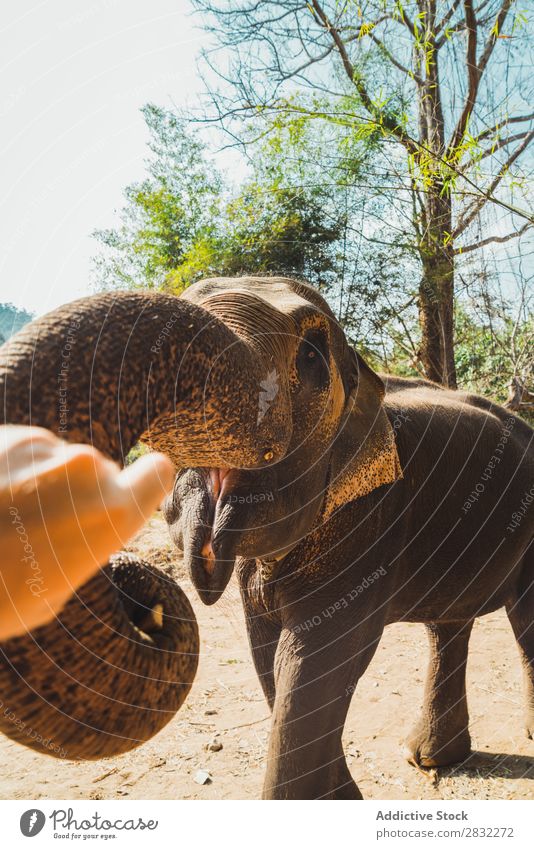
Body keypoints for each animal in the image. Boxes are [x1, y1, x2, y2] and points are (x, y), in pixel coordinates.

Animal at [164, 274, 534, 800]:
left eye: (311, 356)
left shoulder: (370, 521)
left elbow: (313, 656)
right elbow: (269, 654)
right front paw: (343, 797)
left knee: (525, 619)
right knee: (448, 624)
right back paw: (432, 758)